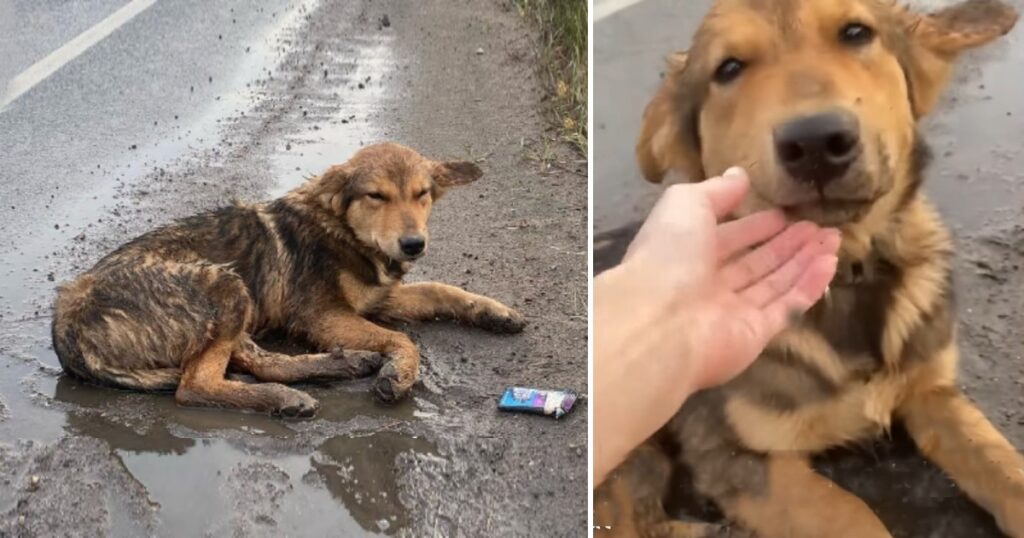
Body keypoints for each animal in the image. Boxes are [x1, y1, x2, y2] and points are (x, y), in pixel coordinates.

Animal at [51, 141, 524, 416]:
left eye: (422, 194)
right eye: (376, 196)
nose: (413, 244)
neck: (342, 230)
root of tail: (64, 320)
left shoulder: (377, 297)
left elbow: (441, 289)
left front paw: (495, 311)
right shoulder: (323, 315)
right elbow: (402, 339)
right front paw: (401, 373)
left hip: (237, 304)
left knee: (258, 362)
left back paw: (343, 363)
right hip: (223, 286)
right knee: (196, 385)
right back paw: (284, 397)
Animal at [593, 1, 1024, 536]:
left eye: (857, 32)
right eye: (728, 68)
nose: (816, 142)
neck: (848, 276)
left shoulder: (933, 392)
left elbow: (1003, 465)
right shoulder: (734, 457)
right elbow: (853, 515)